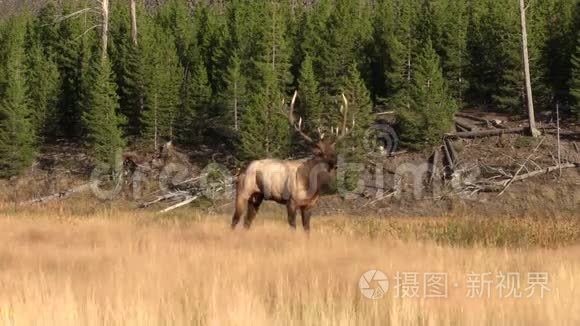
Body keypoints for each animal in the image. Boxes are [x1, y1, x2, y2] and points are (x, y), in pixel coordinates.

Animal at [231, 90, 354, 230]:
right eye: (321, 153)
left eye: (334, 152)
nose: (335, 163)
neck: (310, 187)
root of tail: (242, 170)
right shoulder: (291, 201)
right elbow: (293, 226)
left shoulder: (309, 205)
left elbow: (307, 229)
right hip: (243, 191)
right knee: (235, 220)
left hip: (257, 197)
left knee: (247, 221)